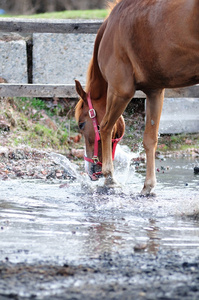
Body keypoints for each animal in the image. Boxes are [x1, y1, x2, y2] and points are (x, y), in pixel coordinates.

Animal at [74, 0, 199, 195]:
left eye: (81, 124)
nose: (90, 171)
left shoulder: (120, 90)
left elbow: (105, 127)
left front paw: (110, 178)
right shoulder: (155, 91)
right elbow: (150, 139)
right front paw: (148, 185)